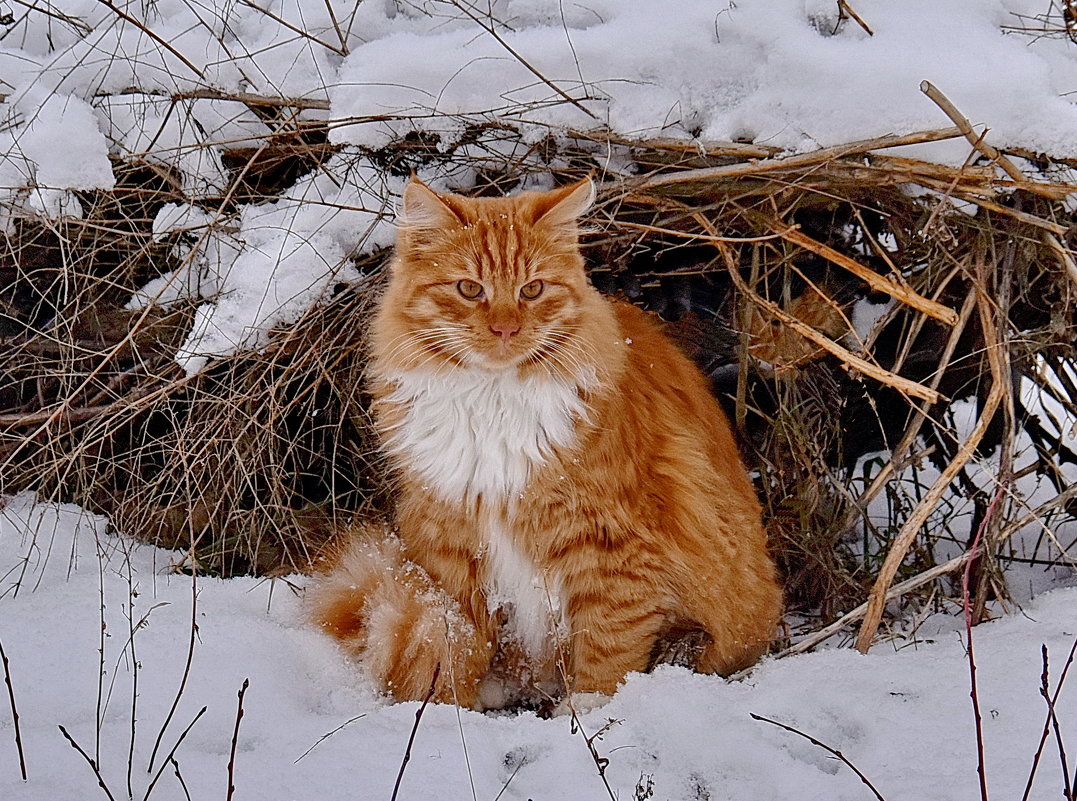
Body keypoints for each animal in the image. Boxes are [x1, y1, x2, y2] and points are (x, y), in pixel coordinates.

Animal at [308, 178, 779, 710]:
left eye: (531, 290)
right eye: (469, 289)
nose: (506, 328)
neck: (490, 401)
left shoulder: (613, 552)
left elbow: (606, 657)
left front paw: (590, 716)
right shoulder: (451, 546)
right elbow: (456, 649)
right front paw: (447, 714)